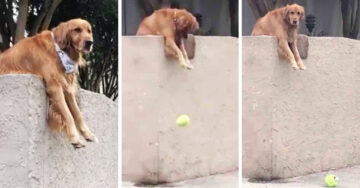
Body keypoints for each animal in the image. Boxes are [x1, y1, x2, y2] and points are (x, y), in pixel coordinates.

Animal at [0, 18, 97, 148]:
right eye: (77, 30)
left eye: (89, 31)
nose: (90, 42)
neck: (59, 51)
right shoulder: (54, 86)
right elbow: (69, 115)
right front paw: (75, 138)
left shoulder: (67, 88)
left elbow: (78, 114)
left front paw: (88, 134)